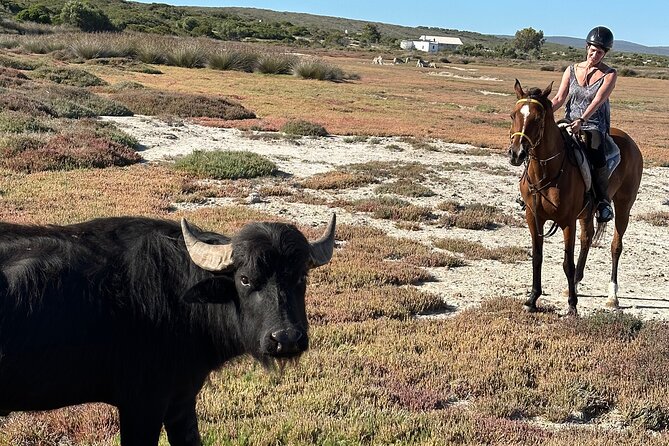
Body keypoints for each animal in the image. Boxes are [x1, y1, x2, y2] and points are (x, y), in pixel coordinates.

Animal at [507, 79, 643, 316]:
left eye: (538, 118)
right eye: (513, 115)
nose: (517, 153)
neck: (547, 172)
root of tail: (630, 142)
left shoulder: (567, 221)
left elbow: (567, 263)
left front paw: (572, 306)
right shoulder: (533, 218)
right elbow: (537, 257)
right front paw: (532, 299)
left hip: (624, 206)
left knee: (615, 246)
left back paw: (612, 296)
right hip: (587, 213)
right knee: (587, 238)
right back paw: (577, 285)